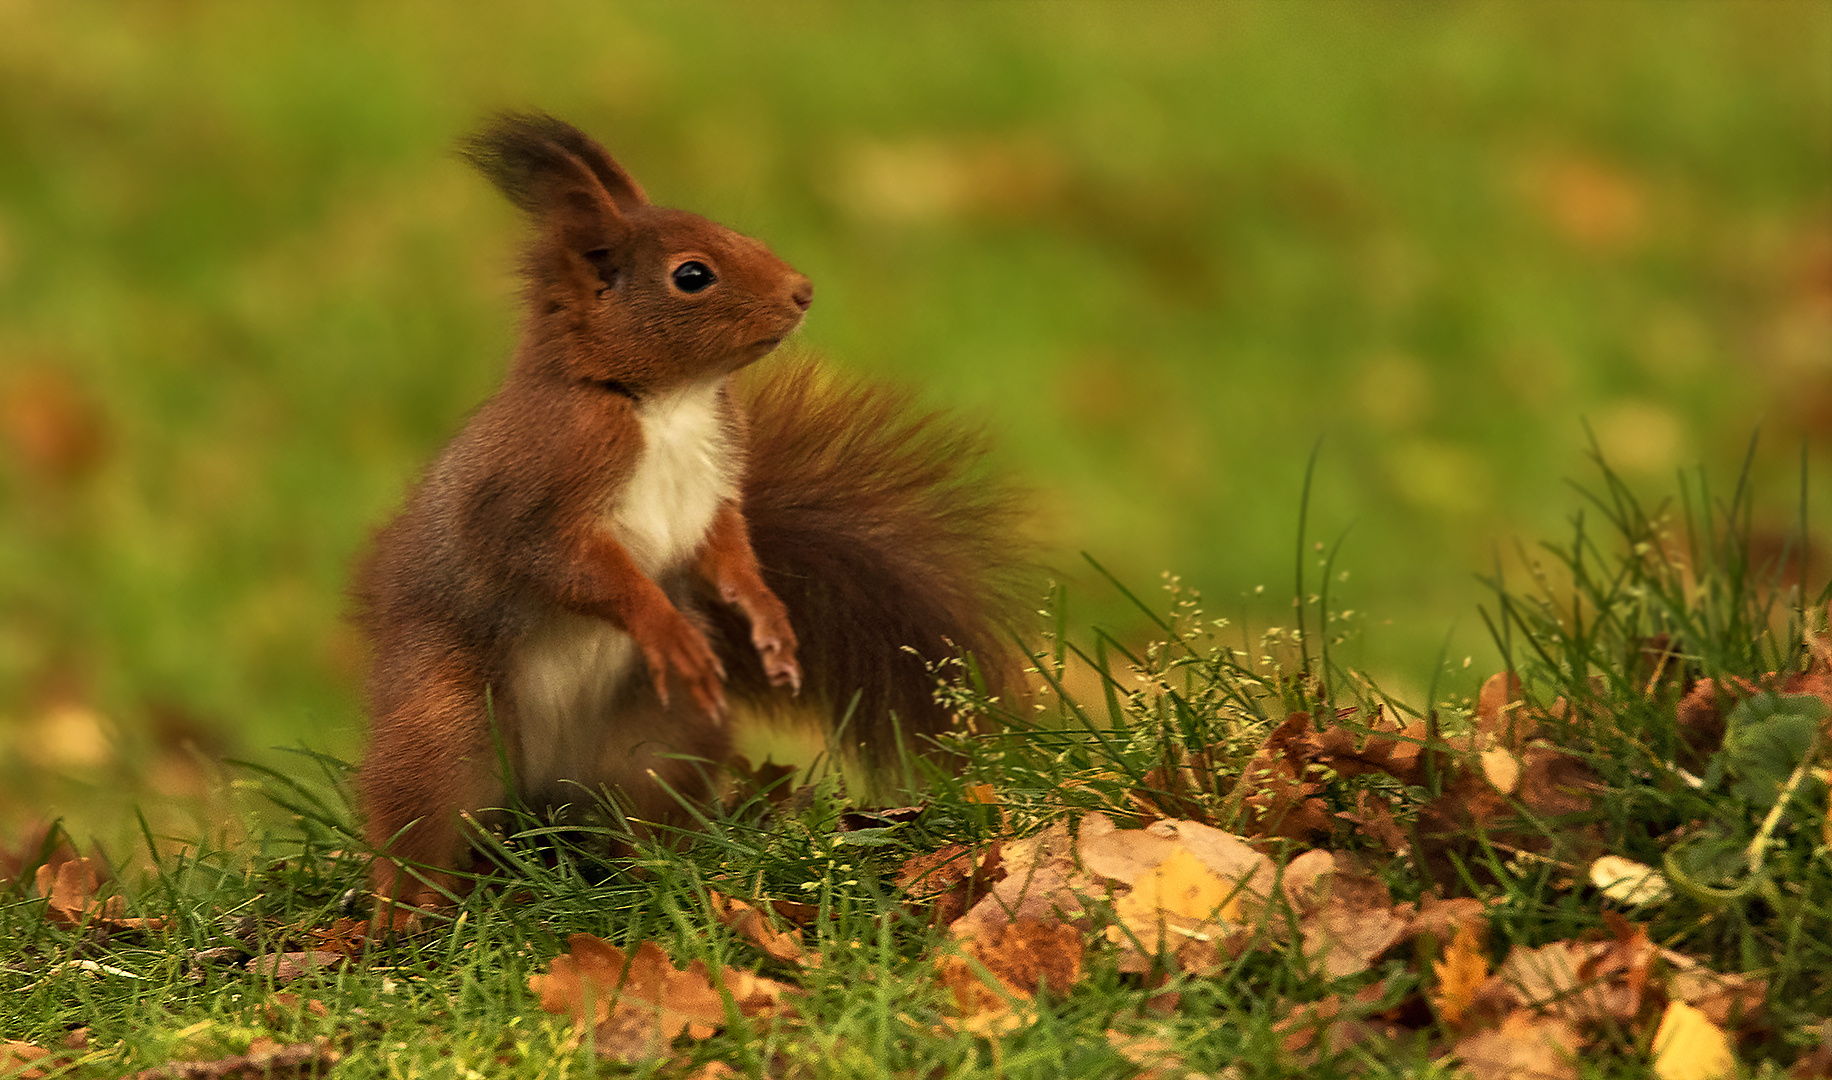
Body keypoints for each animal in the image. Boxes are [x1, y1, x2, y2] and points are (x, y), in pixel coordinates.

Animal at [349, 116, 1025, 915]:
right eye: (692, 276)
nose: (803, 292)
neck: (669, 402)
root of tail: (543, 792)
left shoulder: (716, 489)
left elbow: (726, 552)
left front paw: (768, 619)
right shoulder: (534, 500)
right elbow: (576, 568)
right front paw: (664, 625)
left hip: (663, 738)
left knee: (639, 815)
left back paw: (660, 869)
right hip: (447, 724)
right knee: (419, 817)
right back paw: (409, 909)